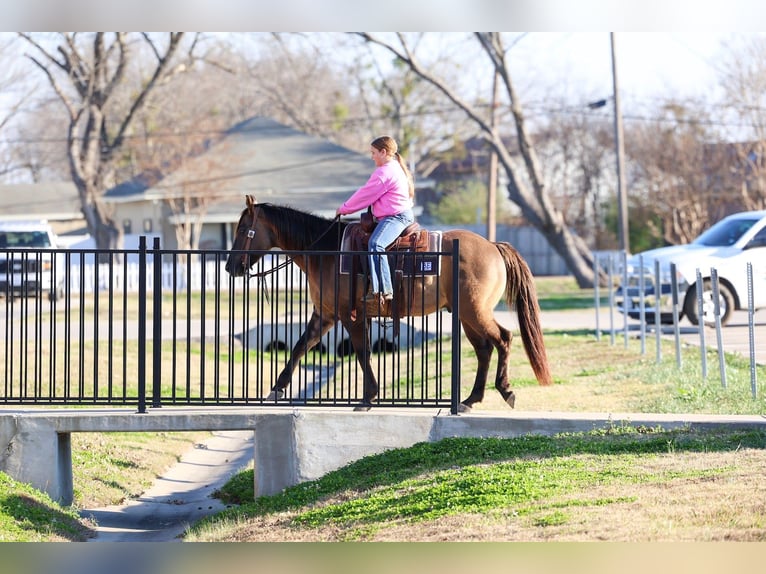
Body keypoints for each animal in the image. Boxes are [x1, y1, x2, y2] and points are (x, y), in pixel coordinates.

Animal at [224, 195, 552, 412]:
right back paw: (470, 400)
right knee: (484, 349)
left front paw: (368, 397)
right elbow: (301, 346)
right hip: (466, 315)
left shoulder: (350, 316)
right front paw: (277, 389)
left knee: (504, 339)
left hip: (476, 311)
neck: (326, 251)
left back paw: (505, 390)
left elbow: (361, 352)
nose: (230, 267)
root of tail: (493, 246)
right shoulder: (325, 315)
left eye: (242, 229)